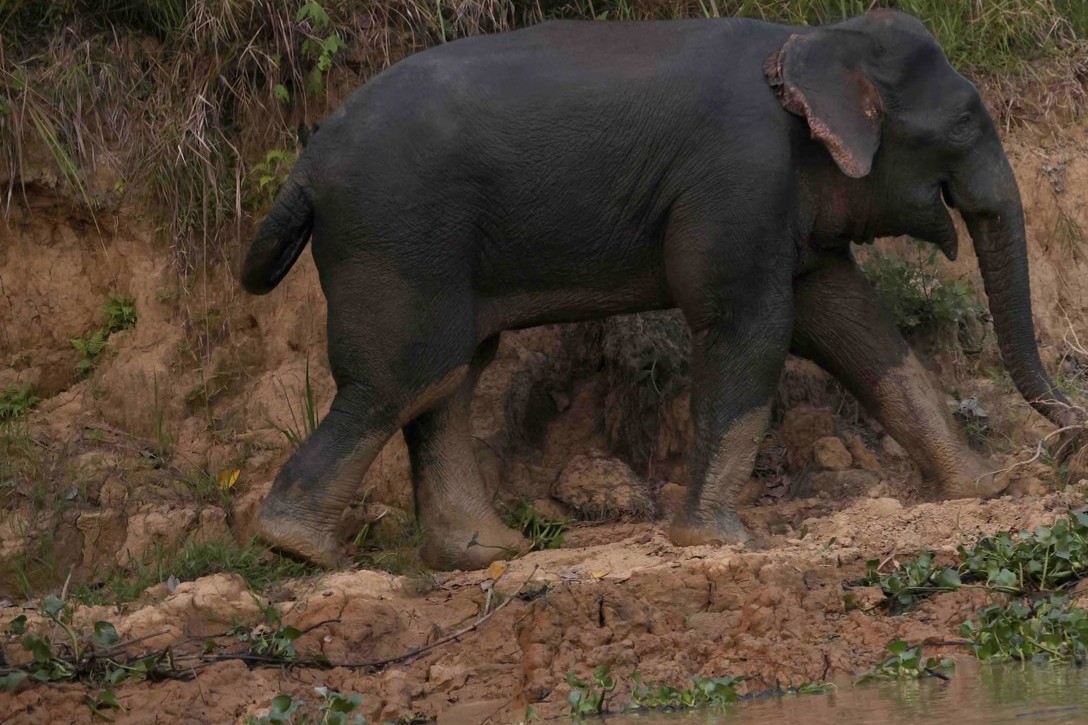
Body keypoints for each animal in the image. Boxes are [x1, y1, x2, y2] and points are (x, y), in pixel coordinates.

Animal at [240, 9, 1078, 569]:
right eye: (965, 123)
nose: (1069, 441)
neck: (811, 35)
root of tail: (302, 170)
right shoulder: (739, 175)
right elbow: (751, 325)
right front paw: (721, 540)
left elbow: (850, 323)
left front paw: (984, 485)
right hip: (399, 236)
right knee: (406, 375)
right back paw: (302, 547)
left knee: (450, 378)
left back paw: (484, 552)